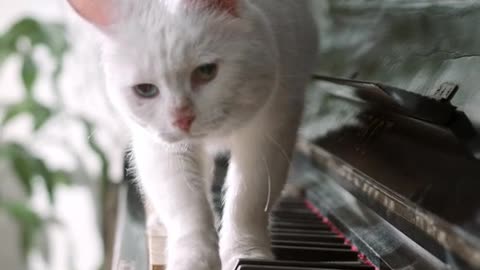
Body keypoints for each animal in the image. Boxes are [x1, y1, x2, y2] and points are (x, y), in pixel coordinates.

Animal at [64, 1, 318, 268]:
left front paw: (246, 253)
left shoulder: (271, 128)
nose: (182, 119)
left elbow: (249, 200)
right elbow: (187, 207)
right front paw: (195, 259)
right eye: (145, 90)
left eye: (206, 71)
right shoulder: (162, 147)